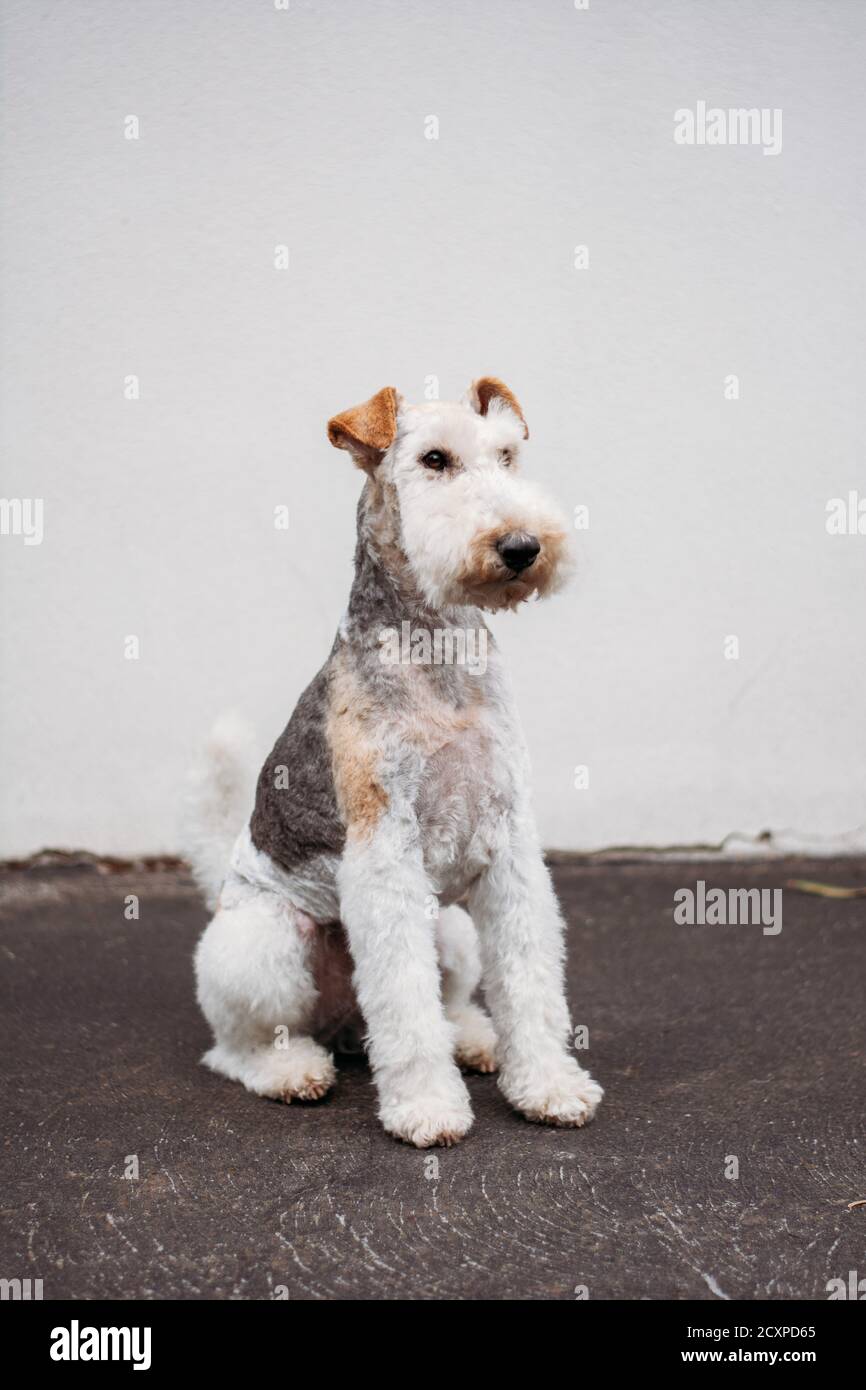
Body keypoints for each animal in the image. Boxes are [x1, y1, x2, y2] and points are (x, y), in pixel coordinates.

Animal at [187, 375, 603, 1145]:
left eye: (508, 455)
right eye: (434, 460)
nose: (522, 546)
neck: (438, 647)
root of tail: (342, 1028)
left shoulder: (510, 844)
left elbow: (529, 981)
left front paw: (549, 1087)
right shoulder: (384, 853)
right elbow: (406, 1008)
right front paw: (428, 1109)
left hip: (451, 931)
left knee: (450, 1002)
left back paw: (475, 1039)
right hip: (266, 945)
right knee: (239, 1044)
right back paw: (292, 1072)